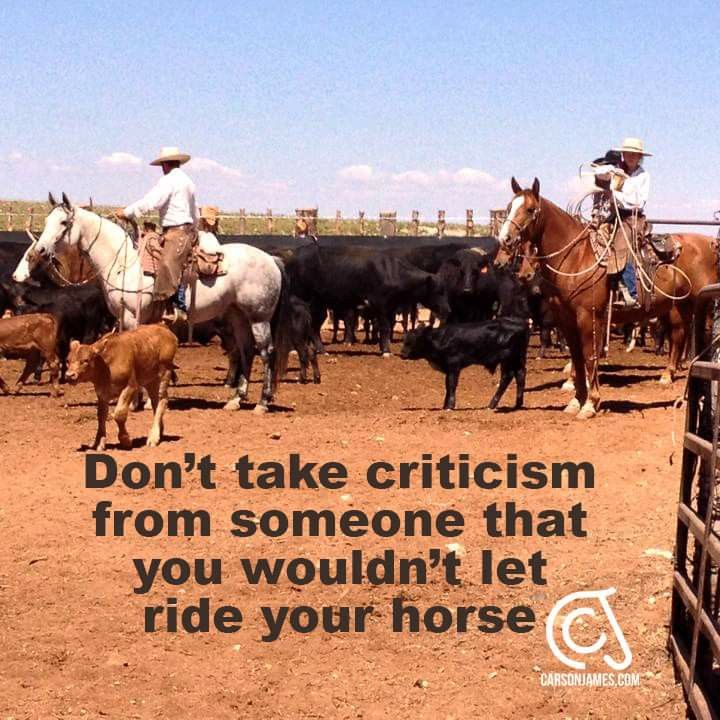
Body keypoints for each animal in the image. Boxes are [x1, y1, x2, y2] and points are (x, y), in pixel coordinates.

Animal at [16, 194, 292, 414]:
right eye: (47, 221)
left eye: (63, 223)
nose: (41, 250)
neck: (123, 262)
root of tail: (271, 259)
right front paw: (144, 399)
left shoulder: (132, 316)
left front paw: (136, 401)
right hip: (238, 315)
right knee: (246, 351)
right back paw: (236, 400)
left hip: (259, 317)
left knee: (266, 352)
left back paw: (262, 403)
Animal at [498, 176, 716, 420]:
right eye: (509, 207)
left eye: (529, 209)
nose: (505, 238)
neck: (576, 257)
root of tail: (708, 243)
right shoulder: (566, 320)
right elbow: (577, 357)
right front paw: (576, 400)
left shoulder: (589, 316)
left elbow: (589, 355)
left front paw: (591, 403)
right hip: (681, 305)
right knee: (680, 334)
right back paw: (671, 375)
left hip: (702, 303)